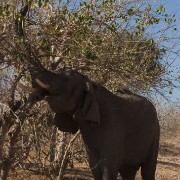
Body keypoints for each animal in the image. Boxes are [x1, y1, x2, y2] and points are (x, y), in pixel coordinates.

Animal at [20, 69, 160, 180]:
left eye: (66, 79)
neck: (91, 85)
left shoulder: (114, 125)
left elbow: (108, 167)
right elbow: (94, 167)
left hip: (155, 132)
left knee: (148, 171)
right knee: (127, 171)